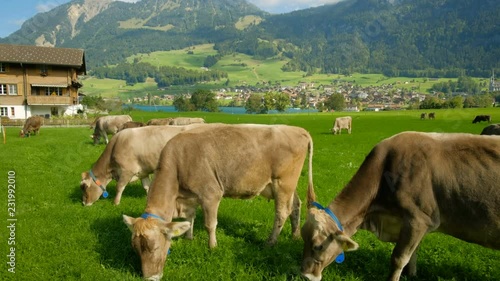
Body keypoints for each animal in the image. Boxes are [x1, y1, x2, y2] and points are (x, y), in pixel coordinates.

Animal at [122, 123, 312, 278]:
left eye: (153, 247)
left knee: (282, 212)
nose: (150, 277)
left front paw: (212, 246)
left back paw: (270, 242)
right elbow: (189, 218)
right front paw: (189, 237)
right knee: (296, 206)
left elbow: (210, 224)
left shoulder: (211, 194)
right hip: (289, 186)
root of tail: (298, 129)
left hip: (283, 183)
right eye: (135, 249)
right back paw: (295, 235)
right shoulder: (190, 197)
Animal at [300, 131, 500, 280]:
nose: (305, 275)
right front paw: (411, 275)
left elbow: (399, 258)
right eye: (302, 239)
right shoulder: (411, 224)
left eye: (318, 246)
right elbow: (412, 254)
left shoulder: (418, 219)